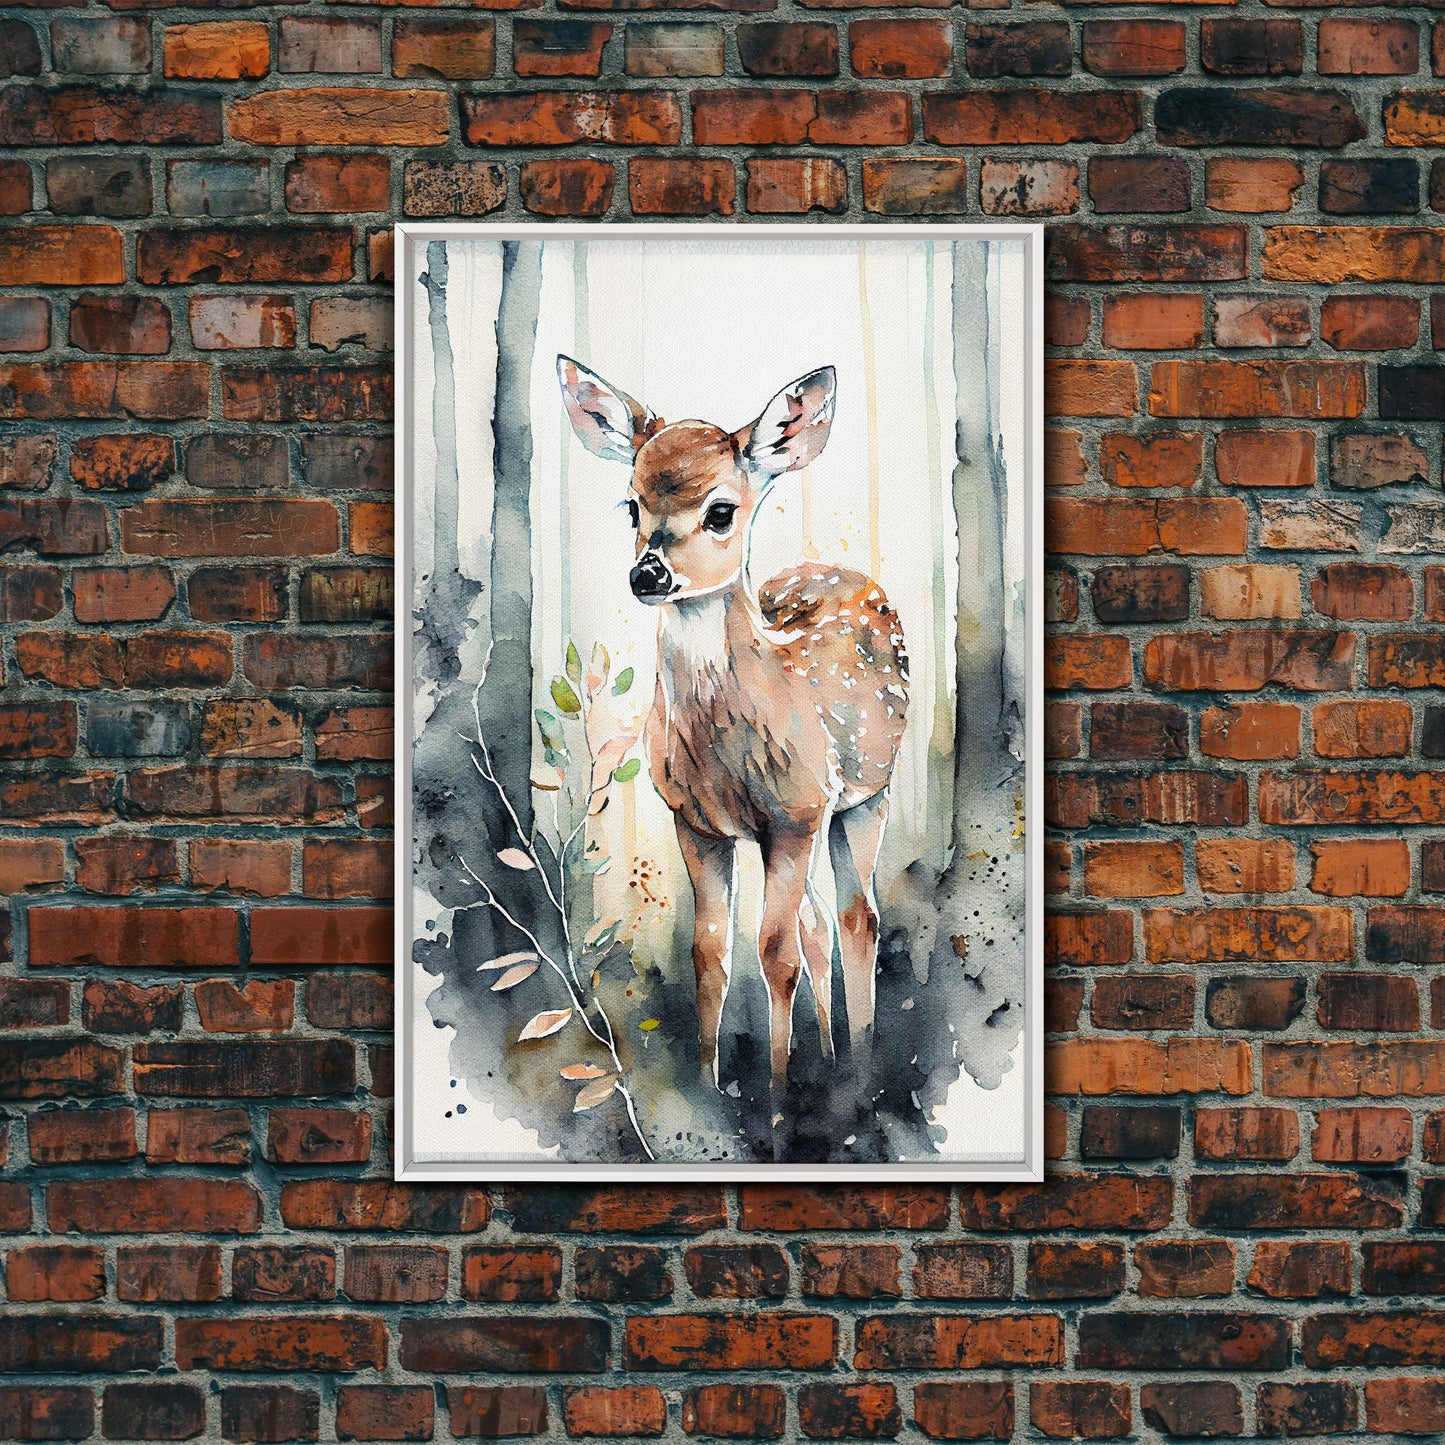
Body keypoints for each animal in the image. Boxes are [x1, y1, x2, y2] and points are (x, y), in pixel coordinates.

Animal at [558, 356, 909, 1119]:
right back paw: (831, 1055)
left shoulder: (797, 810)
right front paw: (706, 1088)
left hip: (865, 794)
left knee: (855, 917)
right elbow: (710, 952)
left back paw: (859, 1067)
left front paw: (775, 1102)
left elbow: (773, 951)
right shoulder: (696, 821)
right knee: (818, 924)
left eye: (720, 510)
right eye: (631, 506)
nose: (648, 573)